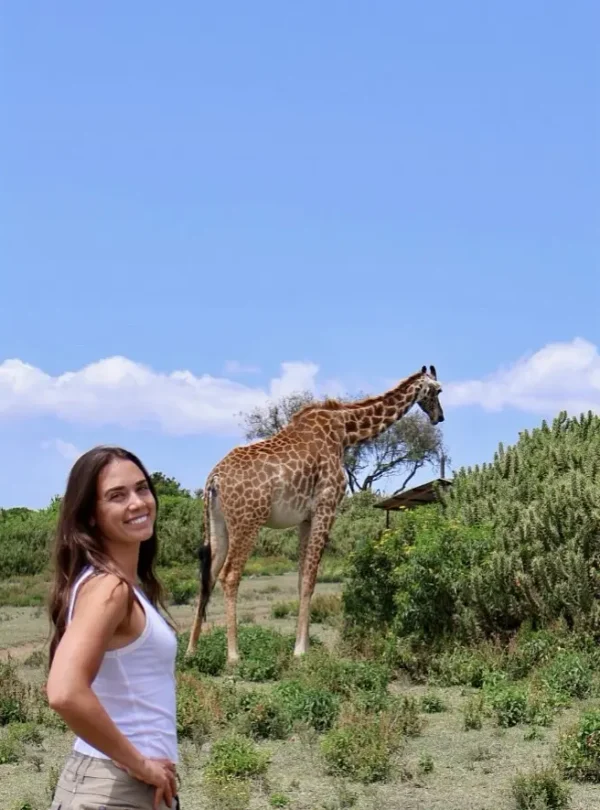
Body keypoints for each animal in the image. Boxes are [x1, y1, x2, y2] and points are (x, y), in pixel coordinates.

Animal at [186, 365, 444, 664]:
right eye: (438, 390)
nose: (439, 417)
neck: (345, 432)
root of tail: (214, 479)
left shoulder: (305, 518)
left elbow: (301, 580)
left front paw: (304, 645)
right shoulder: (326, 507)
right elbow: (311, 579)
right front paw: (299, 650)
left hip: (217, 525)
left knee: (208, 576)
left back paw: (192, 650)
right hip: (247, 523)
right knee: (230, 576)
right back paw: (234, 654)